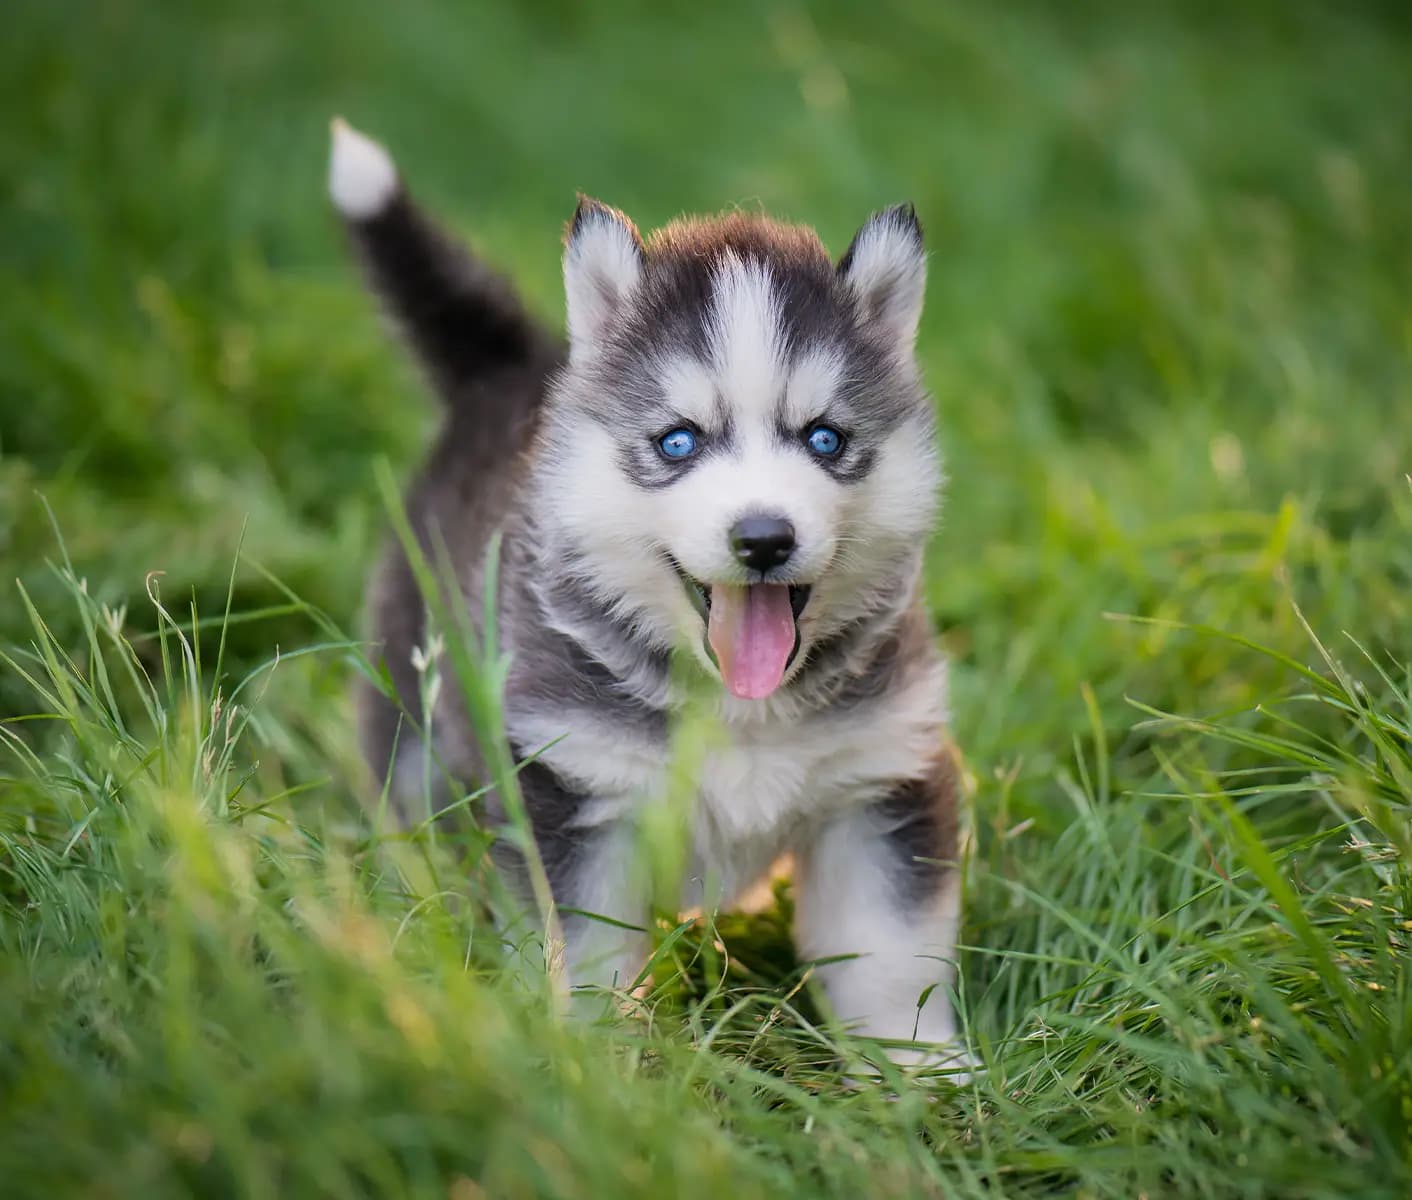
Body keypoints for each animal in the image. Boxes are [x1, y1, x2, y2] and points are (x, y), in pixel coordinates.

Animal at [331, 117, 971, 1061]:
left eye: (824, 438)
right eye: (678, 442)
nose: (763, 538)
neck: (740, 706)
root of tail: (516, 373)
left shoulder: (881, 780)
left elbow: (891, 959)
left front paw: (924, 1073)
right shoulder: (570, 794)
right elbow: (585, 956)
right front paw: (591, 1064)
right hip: (416, 705)